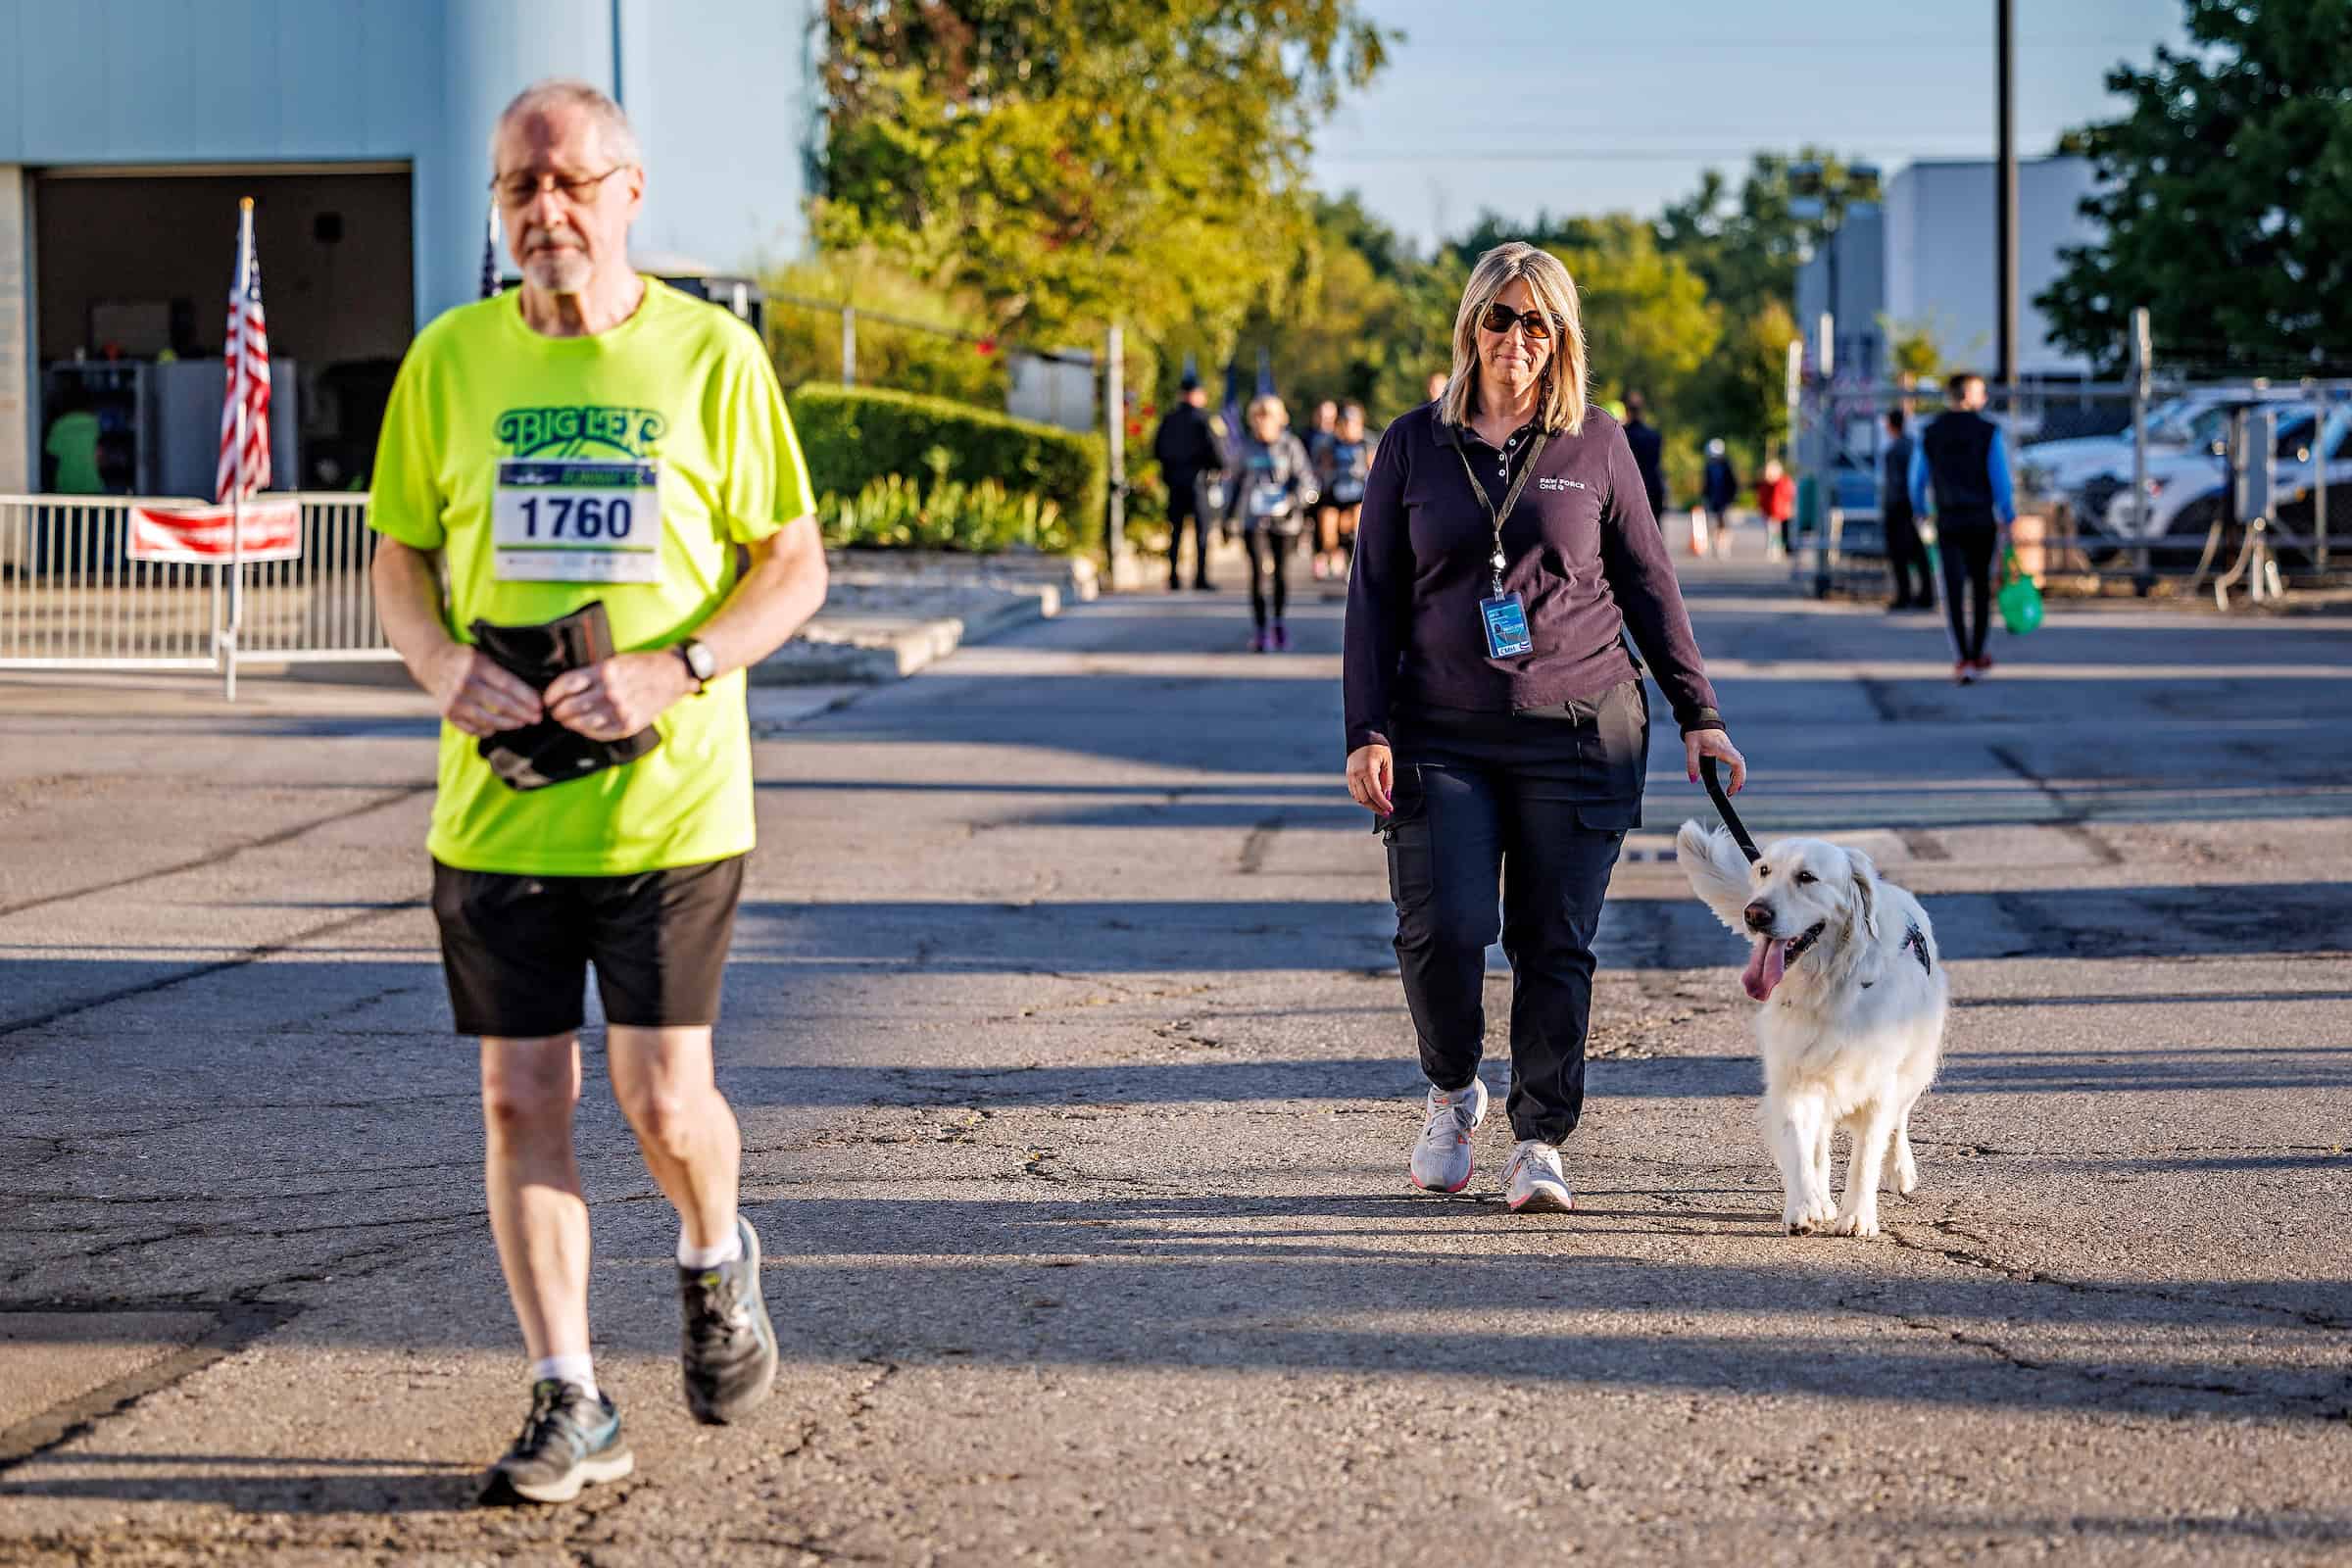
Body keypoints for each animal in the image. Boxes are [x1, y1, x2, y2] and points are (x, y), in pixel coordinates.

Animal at [1674, 822, 1947, 1241]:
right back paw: (1821, 1198)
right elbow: (1800, 1144)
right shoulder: (1793, 1076)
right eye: (1764, 871)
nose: (1755, 913)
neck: (1828, 985)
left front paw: (1858, 1216)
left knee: (1899, 1119)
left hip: (1917, 1063)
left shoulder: (1878, 1082)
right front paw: (1804, 1206)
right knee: (1820, 1141)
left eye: (1806, 877)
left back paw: (1899, 1170)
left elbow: (1866, 1154)